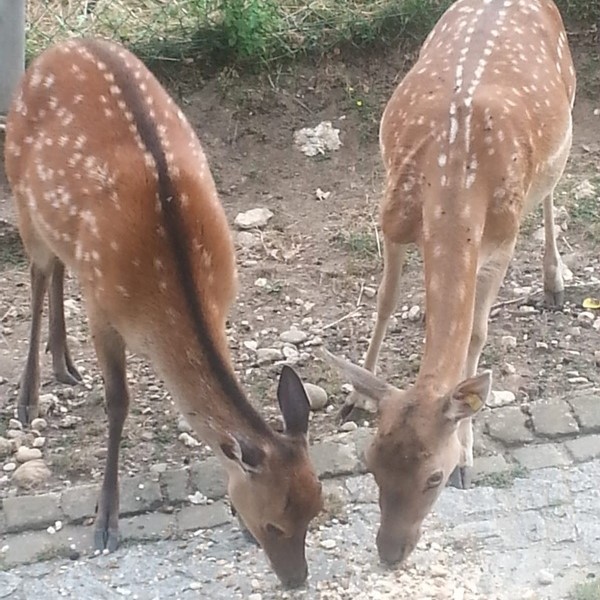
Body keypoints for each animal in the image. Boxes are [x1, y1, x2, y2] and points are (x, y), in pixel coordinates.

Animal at [4, 38, 322, 592]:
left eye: (315, 511)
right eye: (273, 524)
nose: (296, 579)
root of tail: (57, 49)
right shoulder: (104, 309)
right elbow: (118, 404)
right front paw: (105, 522)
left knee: (60, 269)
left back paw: (65, 365)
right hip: (22, 198)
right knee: (40, 275)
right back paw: (28, 397)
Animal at [326, 0, 580, 568]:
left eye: (435, 477)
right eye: (370, 463)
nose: (390, 552)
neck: (454, 183)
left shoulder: (501, 240)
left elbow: (477, 335)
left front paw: (468, 454)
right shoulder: (393, 213)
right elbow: (384, 301)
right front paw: (356, 395)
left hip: (569, 112)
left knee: (554, 190)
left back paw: (554, 281)